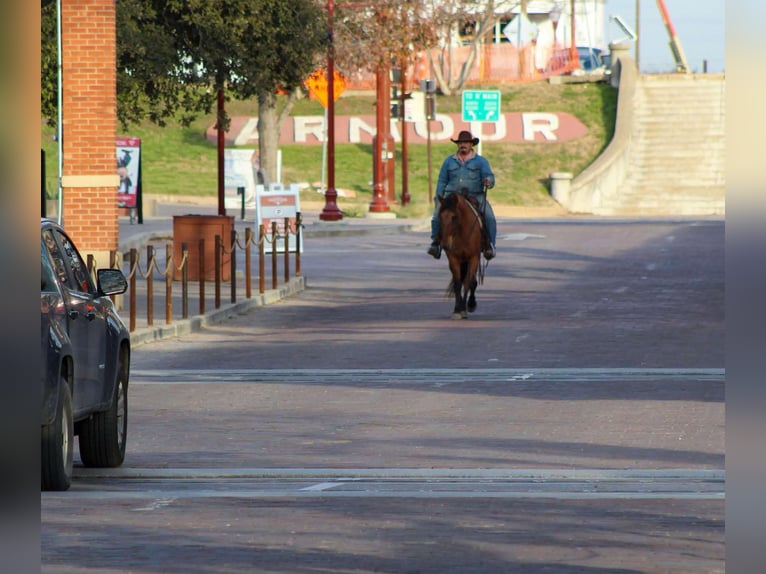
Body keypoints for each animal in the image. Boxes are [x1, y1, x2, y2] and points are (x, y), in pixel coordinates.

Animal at [438, 192, 486, 320]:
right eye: (440, 216)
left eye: (454, 217)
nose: (445, 245)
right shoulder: (453, 259)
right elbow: (457, 283)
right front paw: (457, 309)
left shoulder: (473, 257)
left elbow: (469, 282)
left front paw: (465, 307)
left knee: (471, 281)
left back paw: (470, 304)